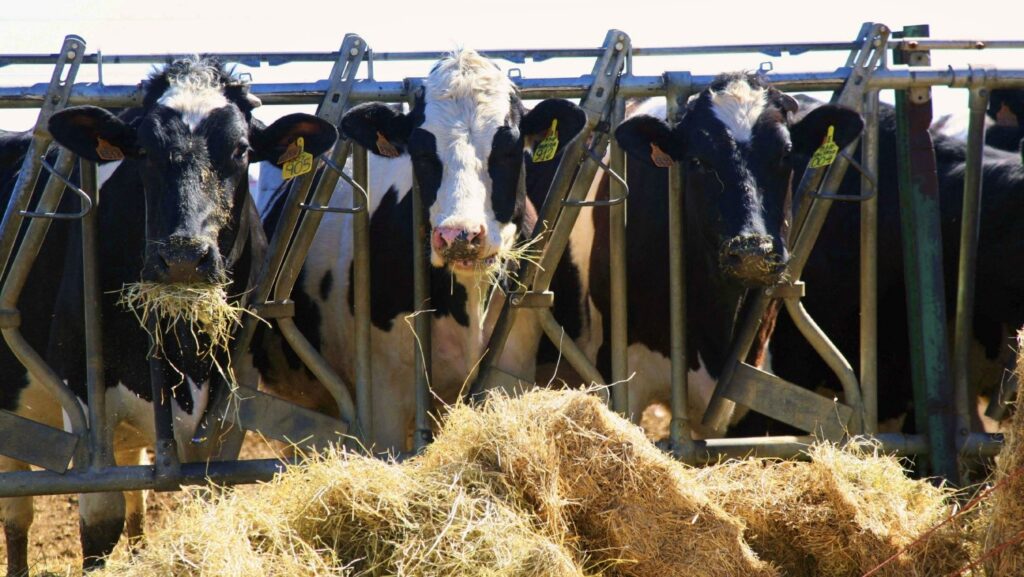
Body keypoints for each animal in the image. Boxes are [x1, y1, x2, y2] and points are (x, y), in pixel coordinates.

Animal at [0, 56, 335, 573]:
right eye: (144, 150)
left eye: (241, 150)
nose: (182, 256)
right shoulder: (84, 397)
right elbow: (100, 524)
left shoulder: (233, 400)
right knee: (18, 514)